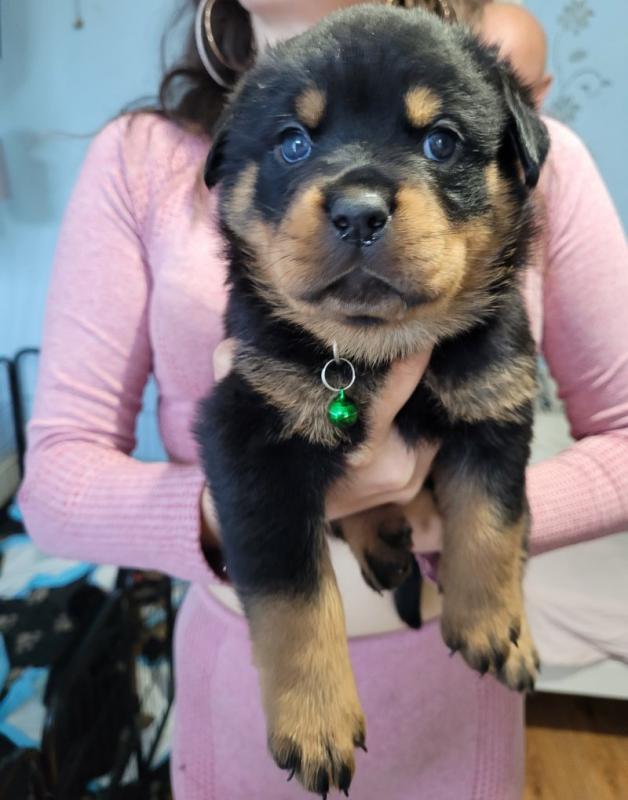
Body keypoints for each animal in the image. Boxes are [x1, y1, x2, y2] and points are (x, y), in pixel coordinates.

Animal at [195, 4, 544, 792]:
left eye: (441, 140)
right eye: (292, 142)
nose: (357, 211)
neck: (373, 351)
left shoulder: (496, 398)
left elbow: (493, 521)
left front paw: (489, 622)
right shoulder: (250, 435)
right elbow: (293, 595)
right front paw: (316, 723)